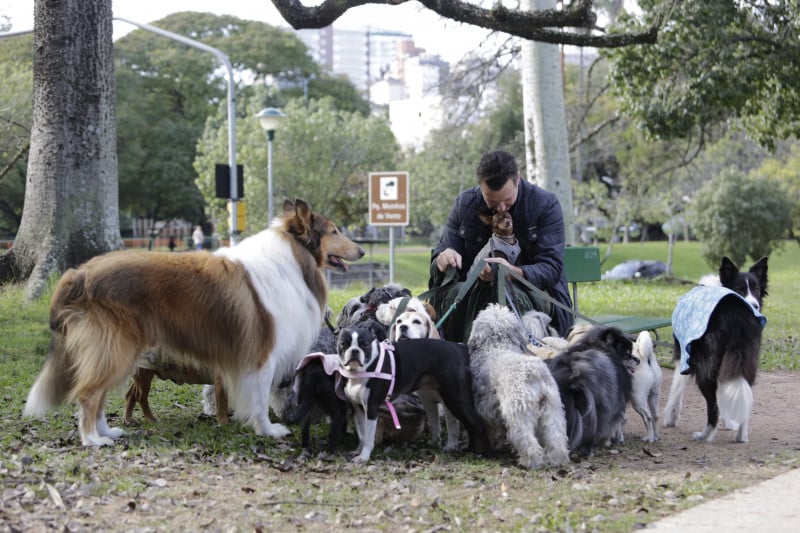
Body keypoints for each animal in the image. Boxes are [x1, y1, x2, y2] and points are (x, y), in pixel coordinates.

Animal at [23, 198, 364, 444]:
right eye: (334, 231)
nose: (361, 249)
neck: (291, 258)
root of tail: (77, 274)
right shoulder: (262, 354)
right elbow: (259, 397)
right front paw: (267, 431)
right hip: (116, 349)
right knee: (88, 393)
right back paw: (93, 440)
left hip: (117, 352)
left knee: (100, 394)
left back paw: (108, 432)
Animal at [336, 324, 490, 462]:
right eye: (343, 344)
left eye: (365, 345)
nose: (354, 351)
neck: (362, 370)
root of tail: (458, 347)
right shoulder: (357, 409)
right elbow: (361, 434)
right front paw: (358, 451)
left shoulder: (371, 407)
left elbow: (368, 436)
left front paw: (364, 456)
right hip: (449, 399)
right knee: (469, 424)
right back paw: (469, 449)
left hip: (457, 398)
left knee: (478, 423)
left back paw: (481, 453)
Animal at [466, 302, 572, 468]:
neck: (497, 345)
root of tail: (533, 373)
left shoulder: (485, 409)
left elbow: (492, 429)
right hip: (552, 409)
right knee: (556, 437)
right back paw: (557, 459)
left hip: (519, 413)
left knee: (527, 440)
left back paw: (530, 462)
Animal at [664, 256, 768, 442]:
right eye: (740, 289)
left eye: (756, 289)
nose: (755, 305)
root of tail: (738, 311)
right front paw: (731, 422)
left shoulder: (683, 355)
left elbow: (676, 390)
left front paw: (671, 418)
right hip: (747, 360)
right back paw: (741, 436)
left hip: (706, 366)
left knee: (713, 409)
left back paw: (704, 436)